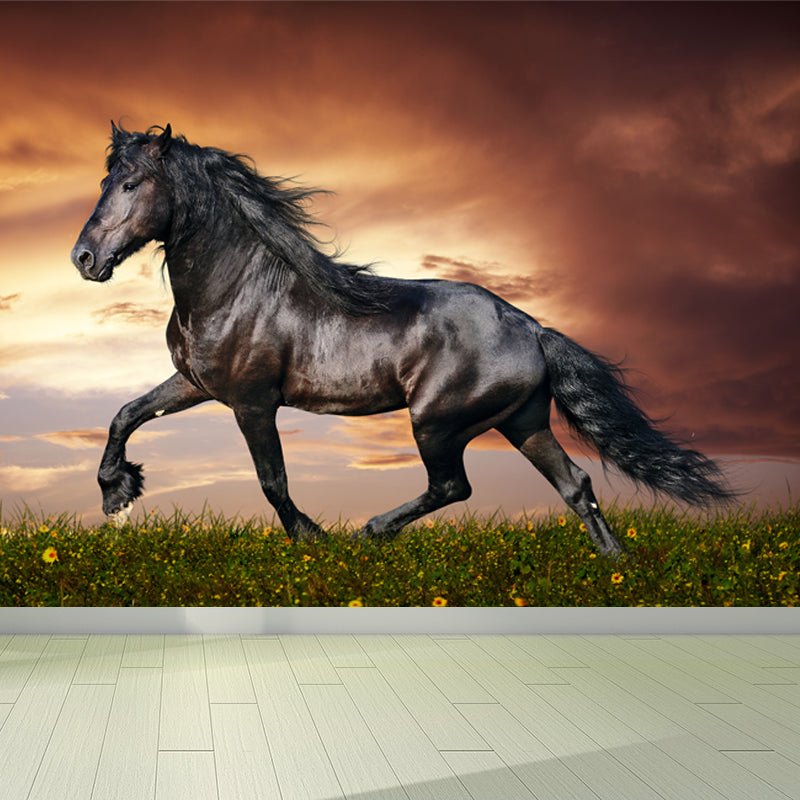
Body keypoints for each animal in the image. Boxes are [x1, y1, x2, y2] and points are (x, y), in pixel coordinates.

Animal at [71, 123, 733, 557]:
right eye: (105, 180)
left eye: (131, 184)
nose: (84, 259)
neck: (236, 286)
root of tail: (532, 328)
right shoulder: (196, 383)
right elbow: (125, 414)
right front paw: (117, 494)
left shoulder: (252, 402)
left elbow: (272, 481)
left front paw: (313, 540)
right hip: (523, 422)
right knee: (576, 486)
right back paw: (615, 566)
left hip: (436, 421)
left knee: (453, 486)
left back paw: (369, 531)